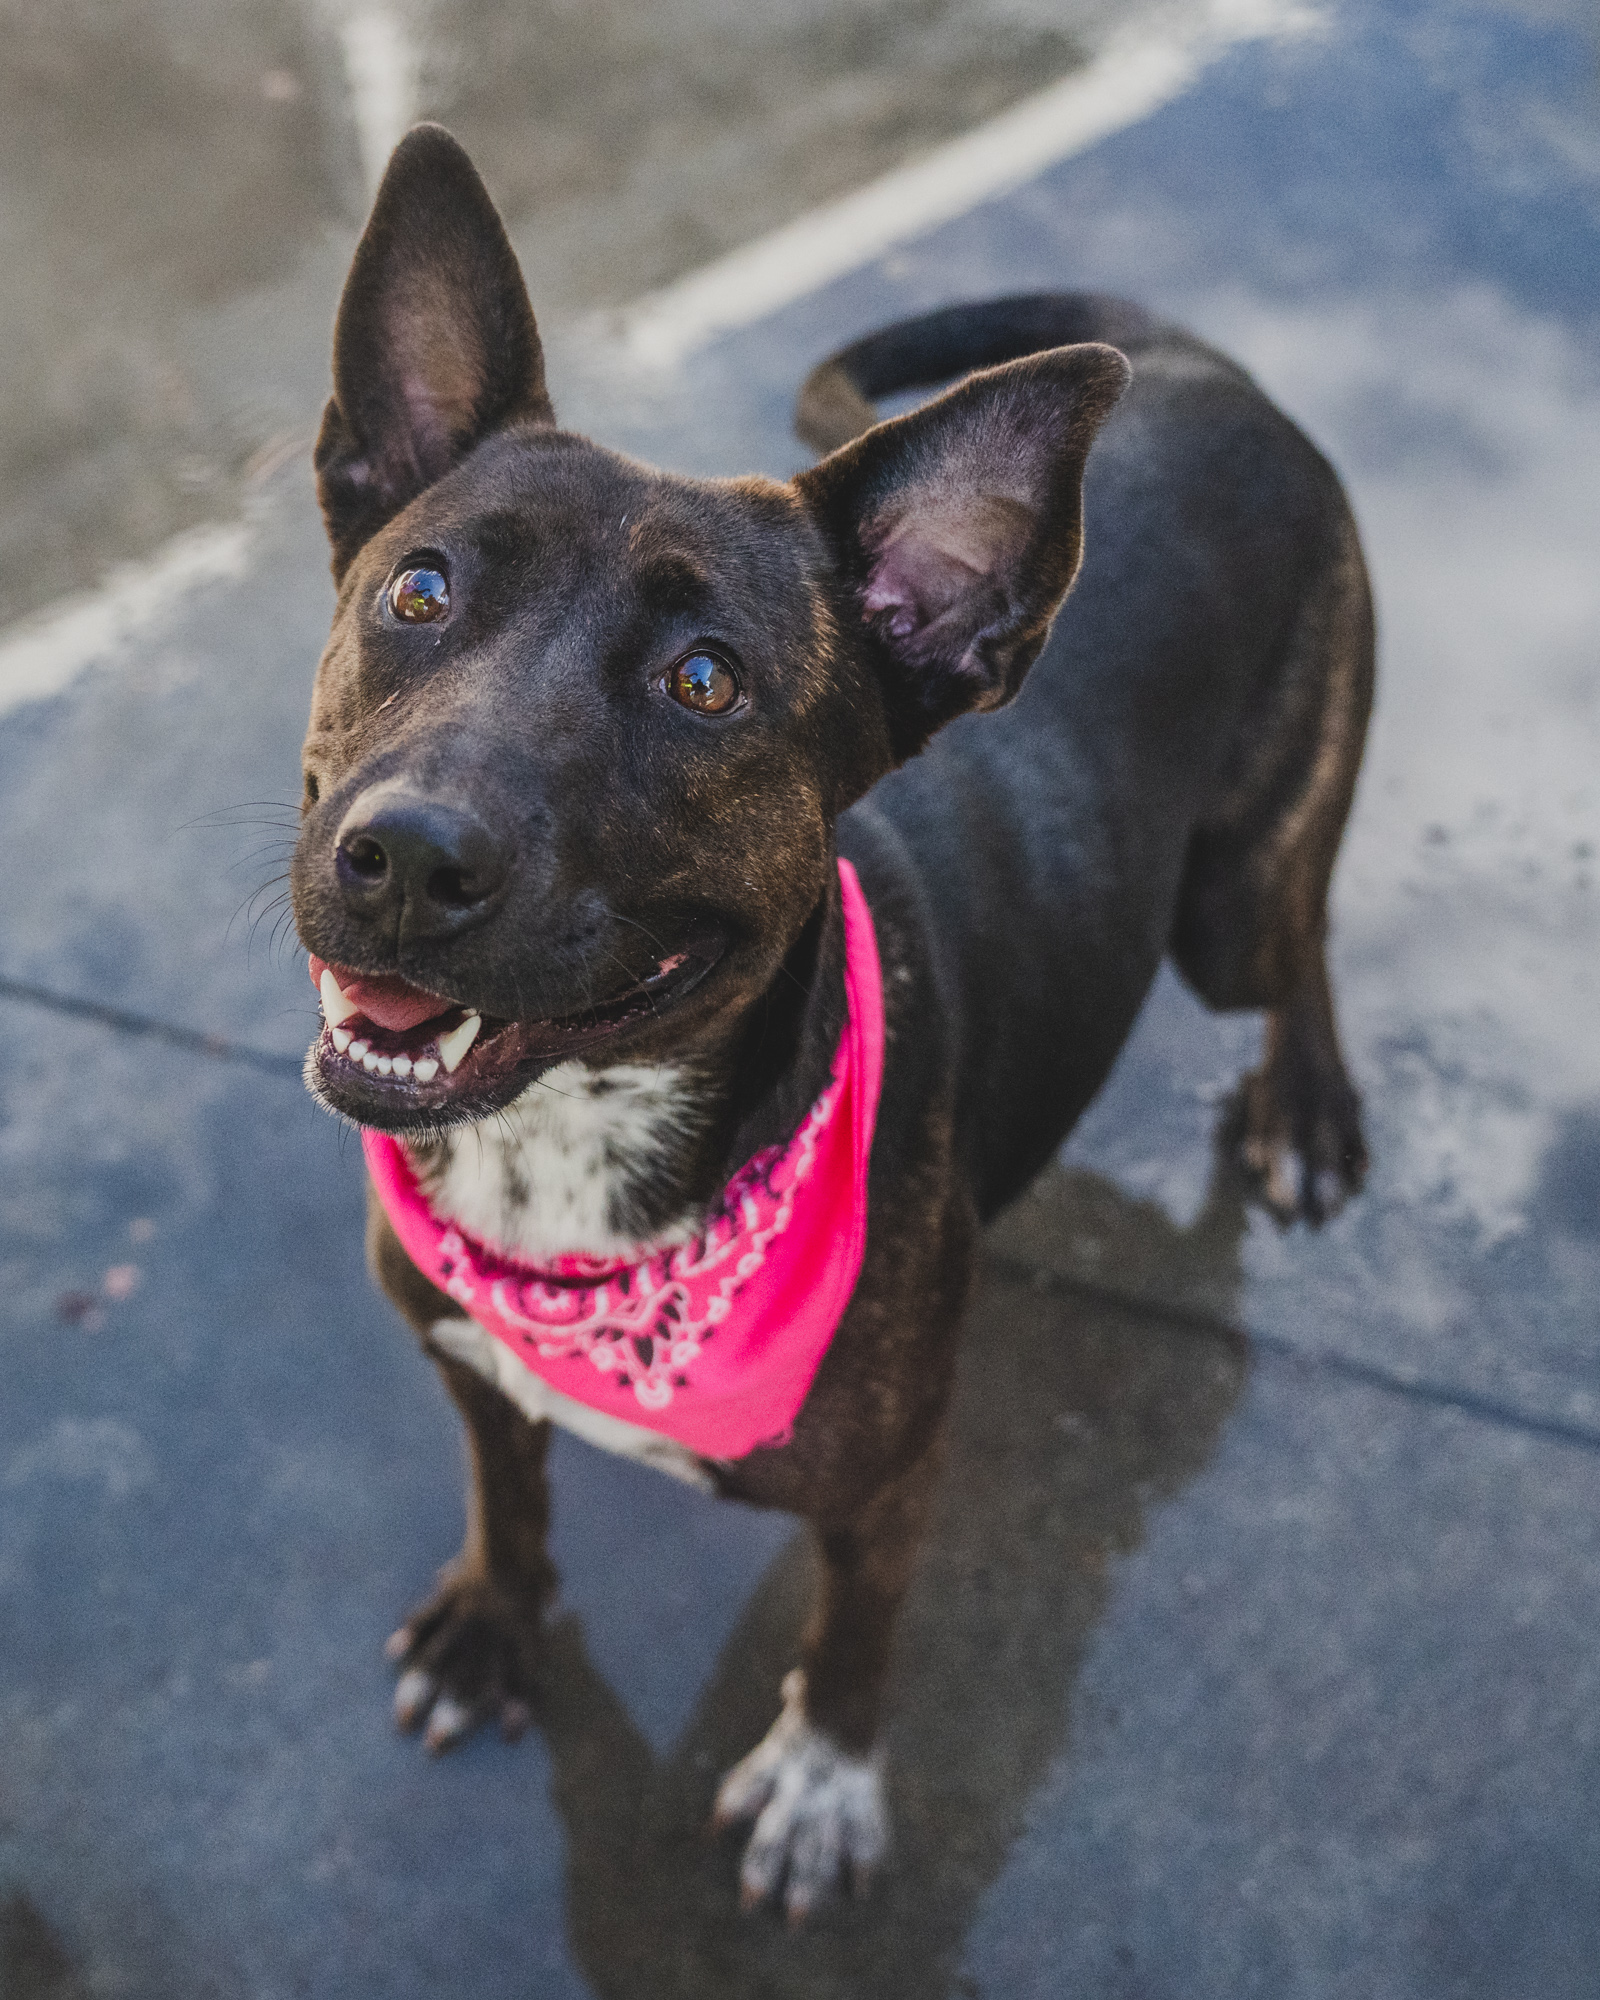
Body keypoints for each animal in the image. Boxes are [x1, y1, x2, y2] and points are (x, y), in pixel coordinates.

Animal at [288, 129, 1360, 1920]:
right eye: (420, 590)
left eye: (705, 682)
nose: (407, 858)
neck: (575, 1170)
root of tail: (1205, 367)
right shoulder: (463, 1353)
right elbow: (507, 1487)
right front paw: (496, 1617)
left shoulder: (892, 1485)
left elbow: (858, 1635)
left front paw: (824, 1779)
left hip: (1232, 902)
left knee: (1302, 942)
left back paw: (1309, 1111)